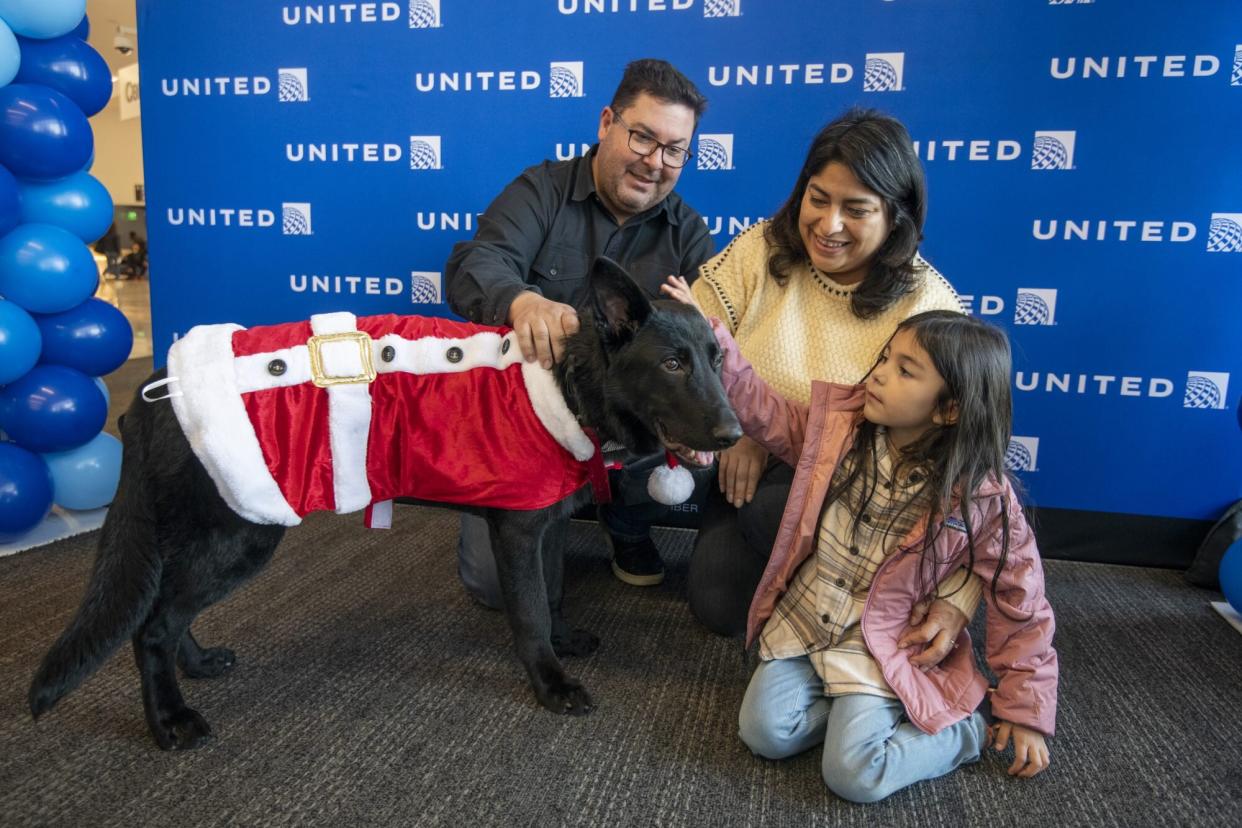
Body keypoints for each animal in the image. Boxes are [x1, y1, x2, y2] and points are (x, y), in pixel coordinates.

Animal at [29, 259, 740, 749]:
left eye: (715, 359)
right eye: (673, 364)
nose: (735, 434)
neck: (569, 382)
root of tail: (155, 386)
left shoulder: (546, 527)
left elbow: (555, 591)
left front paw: (564, 642)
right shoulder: (515, 532)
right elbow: (531, 612)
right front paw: (551, 681)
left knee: (169, 617)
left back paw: (199, 664)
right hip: (239, 534)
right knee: (152, 626)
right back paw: (170, 720)